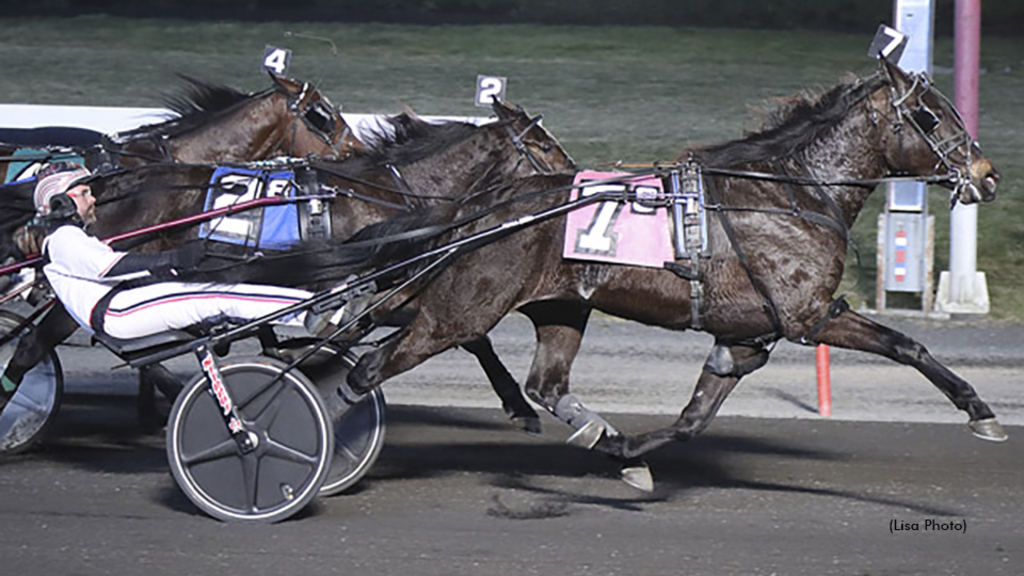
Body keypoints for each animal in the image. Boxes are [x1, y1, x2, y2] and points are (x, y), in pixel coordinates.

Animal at [333, 59, 999, 487]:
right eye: (932, 117)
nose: (987, 175)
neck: (796, 193)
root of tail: (484, 202)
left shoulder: (742, 337)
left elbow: (692, 420)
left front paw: (628, 451)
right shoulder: (808, 316)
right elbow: (906, 344)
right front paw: (979, 411)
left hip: (555, 305)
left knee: (542, 383)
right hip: (460, 308)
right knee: (369, 368)